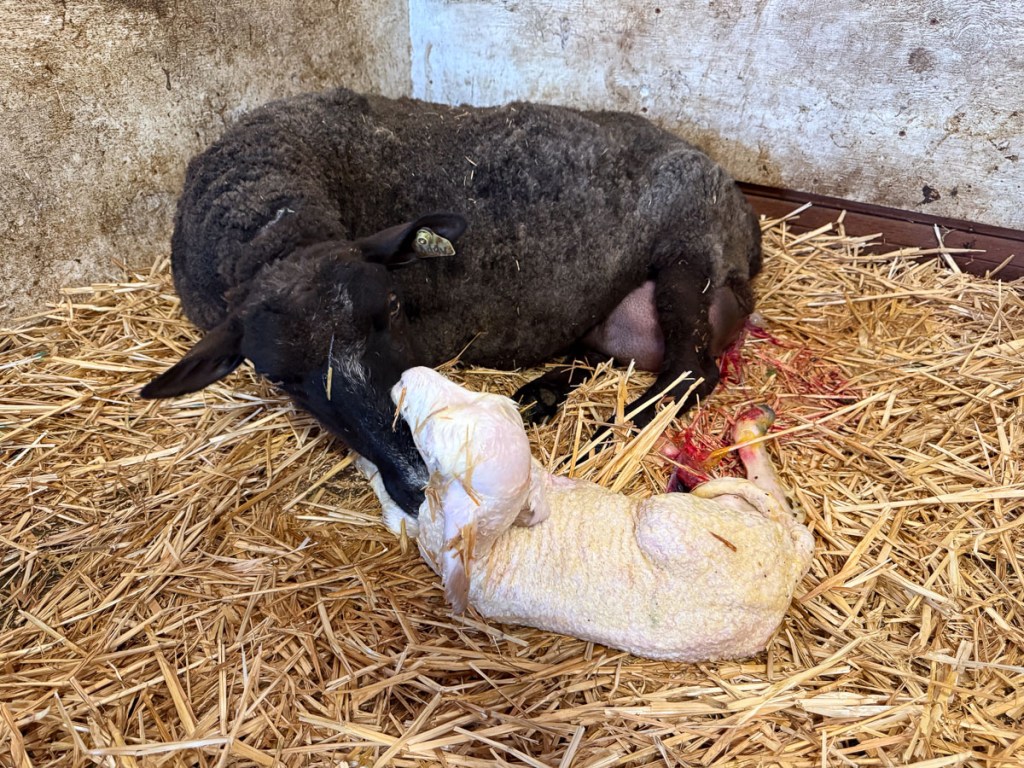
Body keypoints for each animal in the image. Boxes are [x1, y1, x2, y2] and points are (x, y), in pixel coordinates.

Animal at [141, 87, 763, 518]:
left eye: (392, 308)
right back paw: (542, 394)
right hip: (606, 312)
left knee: (690, 371)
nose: (422, 481)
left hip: (690, 253)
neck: (276, 224)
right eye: (281, 379)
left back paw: (606, 435)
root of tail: (747, 222)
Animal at [362, 367, 814, 662]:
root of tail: (788, 568)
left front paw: (367, 466)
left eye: (437, 436)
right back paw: (737, 428)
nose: (406, 375)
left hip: (669, 521)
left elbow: (397, 509)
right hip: (733, 509)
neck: (495, 541)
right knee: (783, 511)